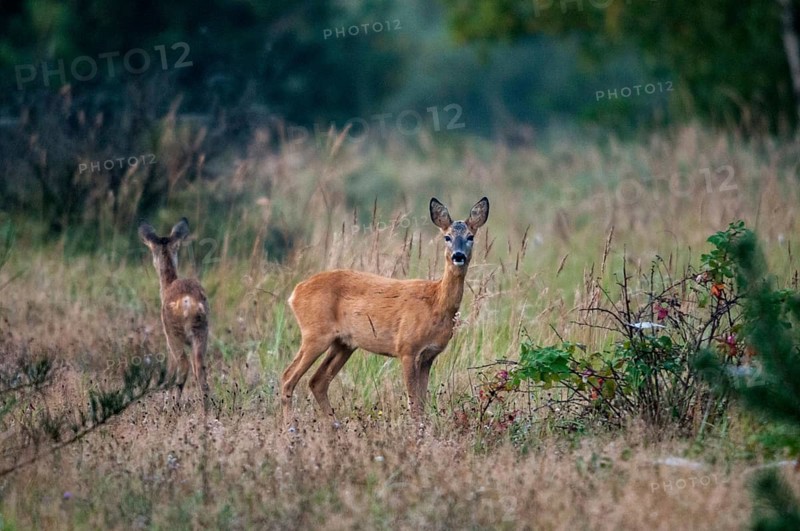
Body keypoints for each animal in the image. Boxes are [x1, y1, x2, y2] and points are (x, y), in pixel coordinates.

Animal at [139, 217, 211, 411]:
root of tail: (187, 301)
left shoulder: (167, 337)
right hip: (202, 331)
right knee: (199, 368)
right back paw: (207, 411)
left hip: (173, 332)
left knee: (183, 365)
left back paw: (171, 407)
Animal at [280, 197, 489, 428]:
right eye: (447, 237)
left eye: (471, 236)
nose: (458, 256)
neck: (435, 303)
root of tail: (296, 292)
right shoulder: (407, 348)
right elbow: (413, 403)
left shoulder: (429, 355)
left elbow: (422, 402)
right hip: (315, 334)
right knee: (288, 377)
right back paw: (290, 428)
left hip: (344, 343)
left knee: (317, 381)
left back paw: (335, 427)